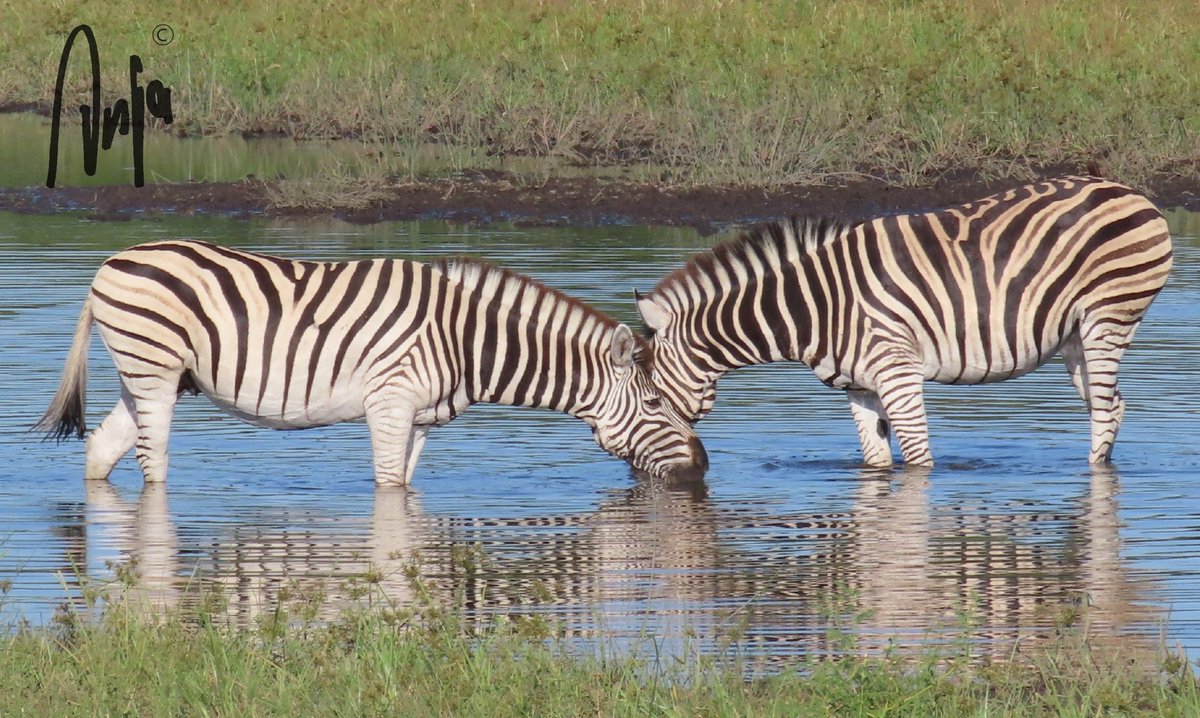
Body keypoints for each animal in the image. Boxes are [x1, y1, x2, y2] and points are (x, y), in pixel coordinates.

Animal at [35, 240, 710, 485]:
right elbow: (387, 491)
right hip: (153, 372)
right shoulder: (390, 403)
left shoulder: (421, 420)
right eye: (656, 402)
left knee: (100, 451)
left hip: (153, 378)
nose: (701, 471)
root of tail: (111, 262)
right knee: (153, 465)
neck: (465, 338)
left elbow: (405, 491)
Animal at [638, 175, 1171, 468]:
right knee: (1112, 407)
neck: (818, 306)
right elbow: (876, 462)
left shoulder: (897, 372)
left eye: (653, 398)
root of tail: (1126, 191)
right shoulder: (860, 388)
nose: (693, 471)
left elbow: (917, 462)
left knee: (1104, 410)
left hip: (1108, 317)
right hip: (1076, 338)